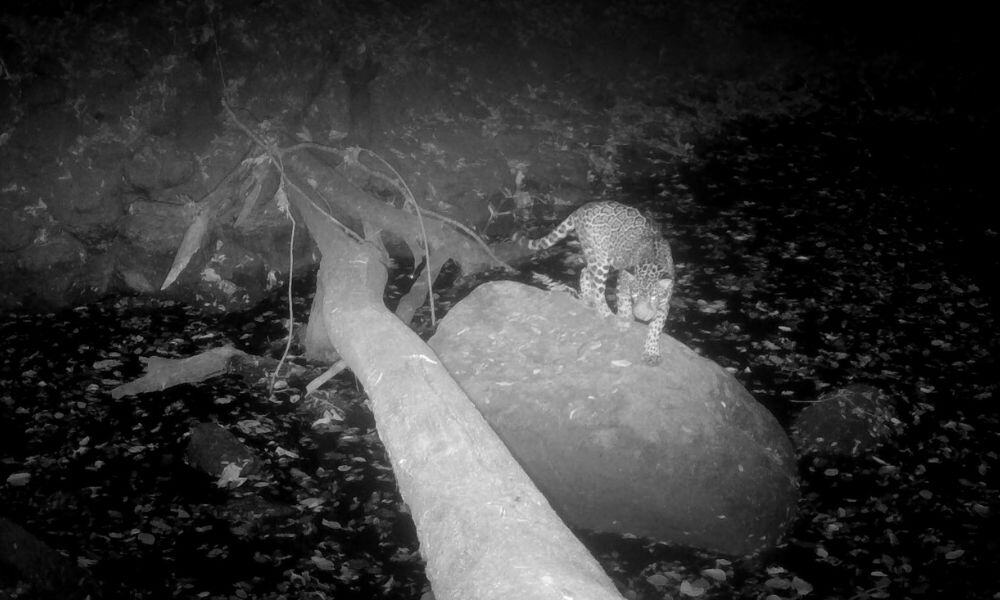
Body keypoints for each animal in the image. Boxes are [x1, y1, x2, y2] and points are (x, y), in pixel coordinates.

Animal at [519, 201, 675, 365]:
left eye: (654, 297)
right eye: (635, 295)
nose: (641, 317)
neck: (652, 262)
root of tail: (583, 207)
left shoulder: (665, 302)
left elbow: (656, 327)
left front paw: (651, 352)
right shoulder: (623, 280)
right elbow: (624, 304)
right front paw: (625, 319)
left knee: (585, 271)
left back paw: (588, 299)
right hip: (600, 260)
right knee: (597, 288)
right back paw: (607, 314)